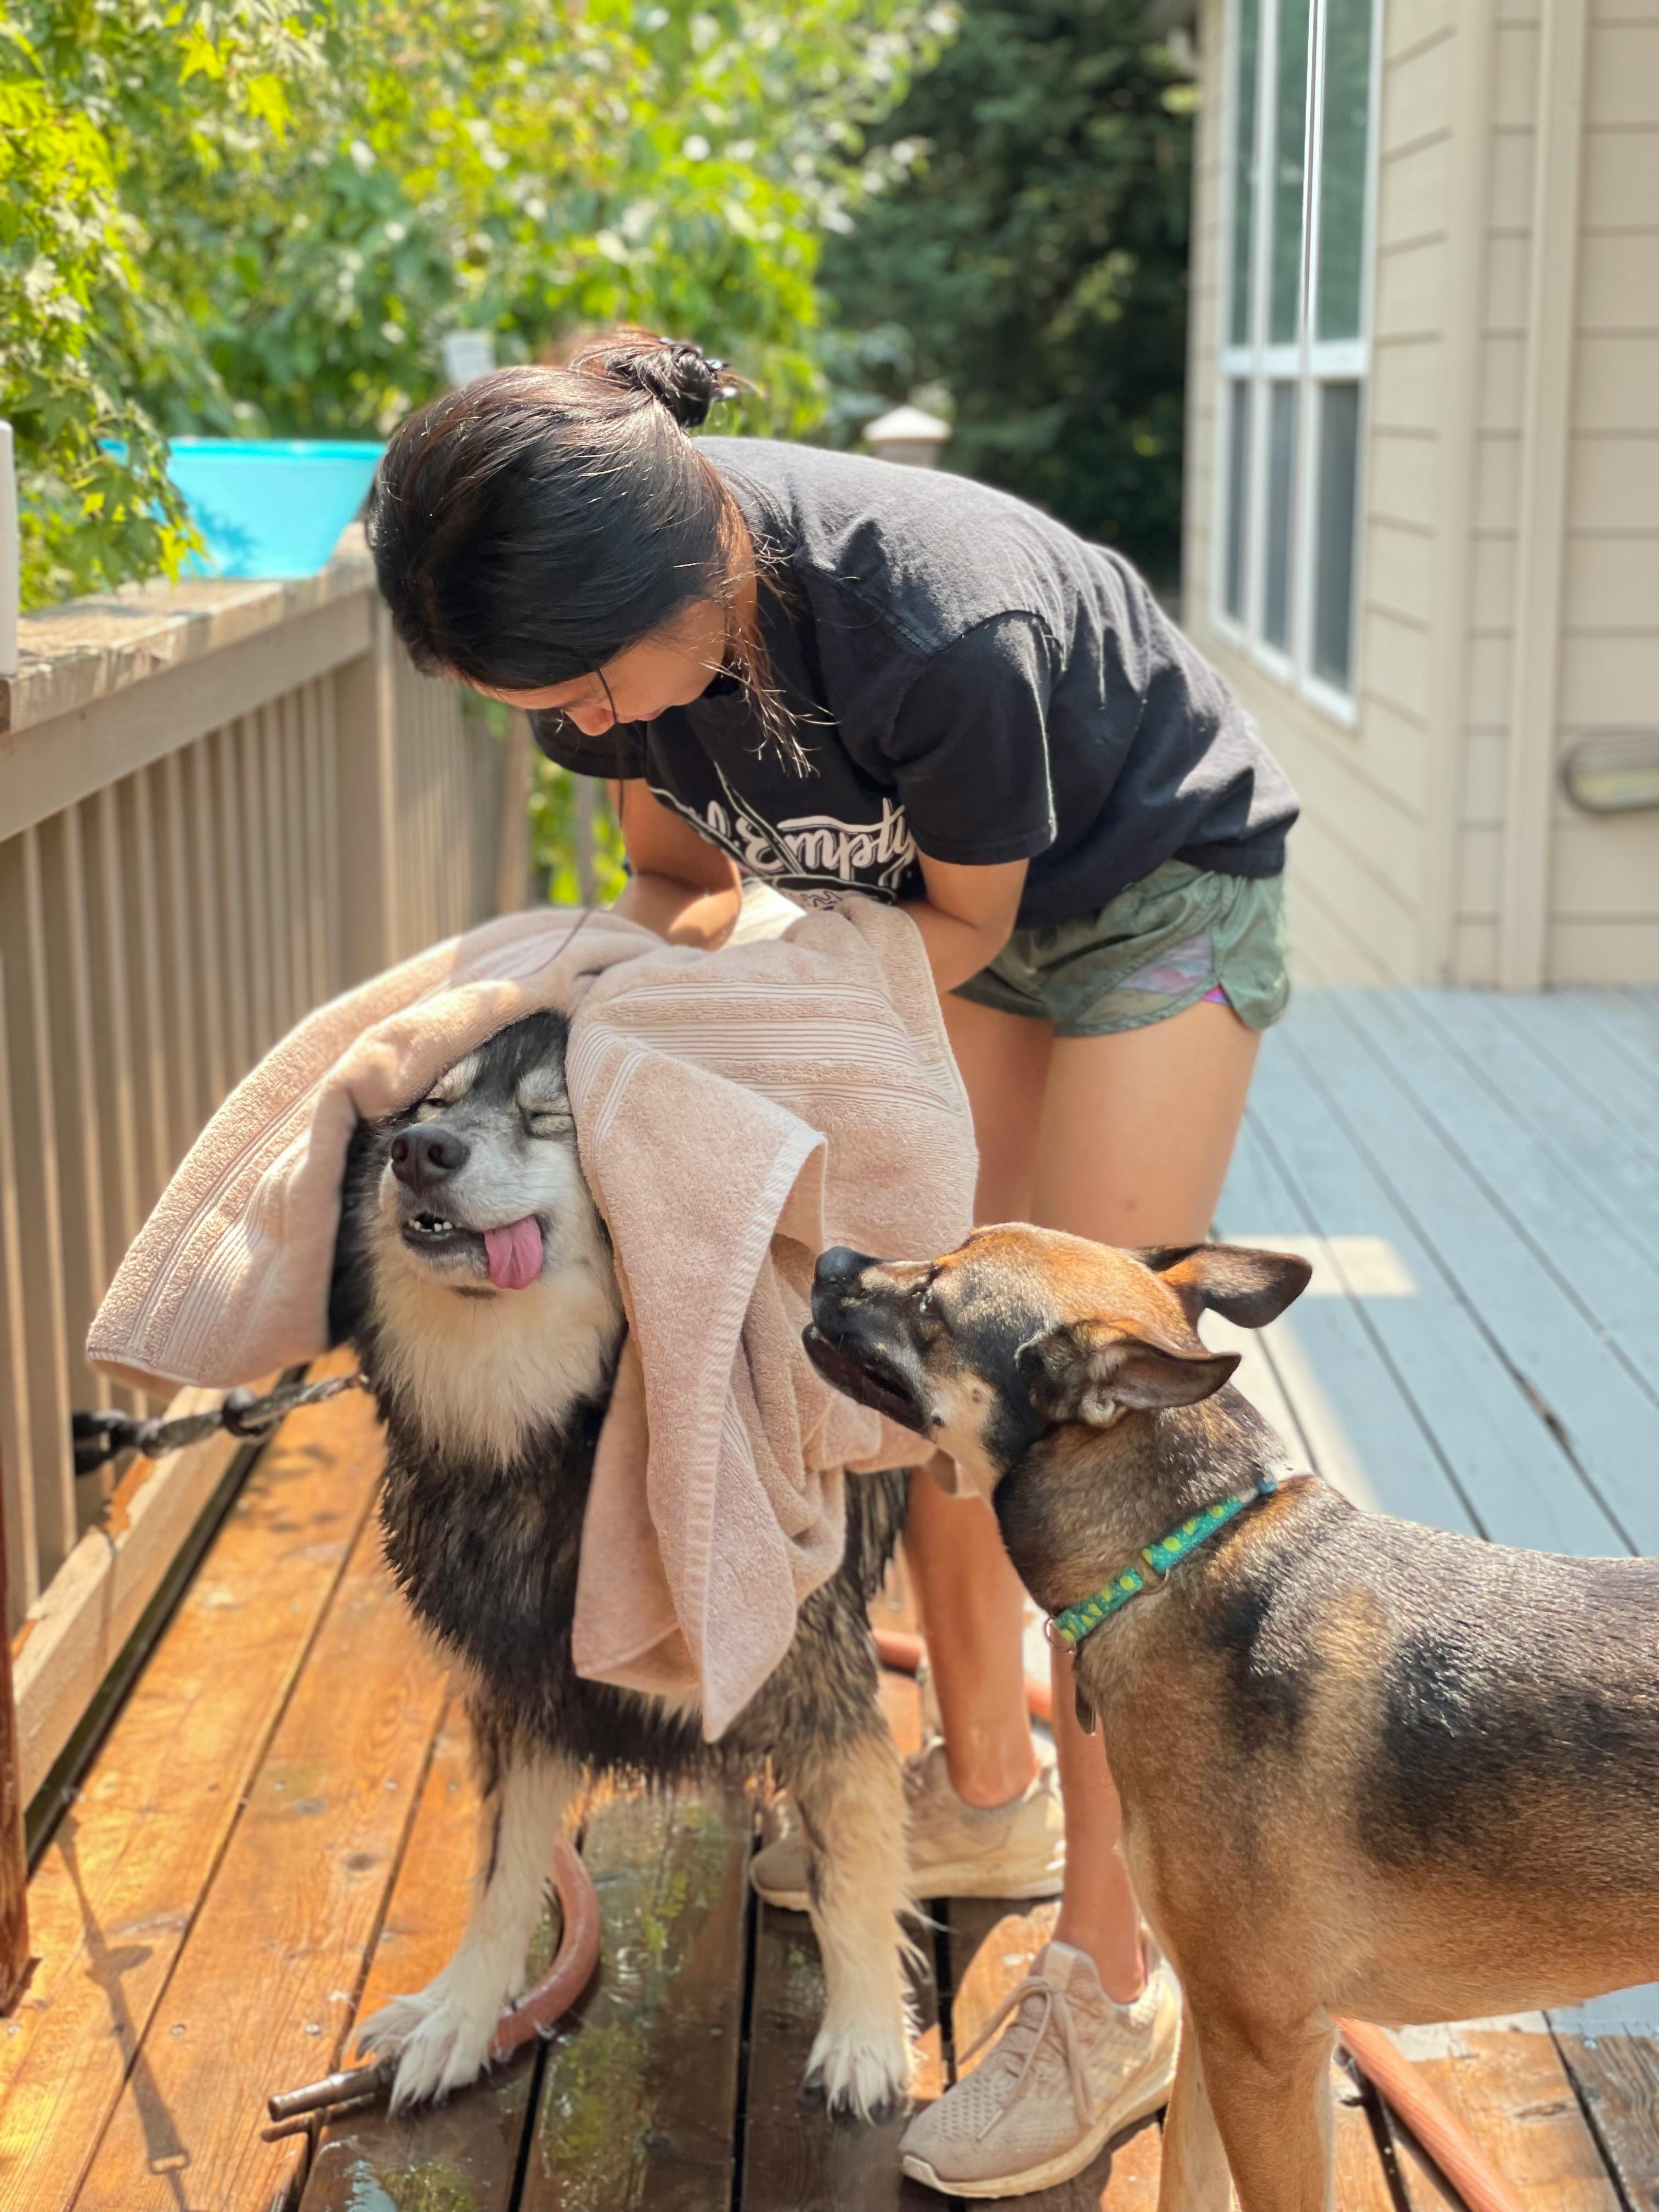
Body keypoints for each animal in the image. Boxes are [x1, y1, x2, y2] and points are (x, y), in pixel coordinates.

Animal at [329, 1013, 916, 2114]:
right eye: (432, 1105)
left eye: (552, 1119)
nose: (419, 1153)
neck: (561, 1434)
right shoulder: (522, 1683)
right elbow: (503, 1873)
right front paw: (461, 2013)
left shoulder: (817, 1680)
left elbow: (857, 1862)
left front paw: (865, 2034)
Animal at [805, 1229, 1659, 2212]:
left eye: (932, 1302)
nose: (827, 1259)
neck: (1176, 1554)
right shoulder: (1218, 2031)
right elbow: (1186, 2180)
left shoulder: (1268, 2048)